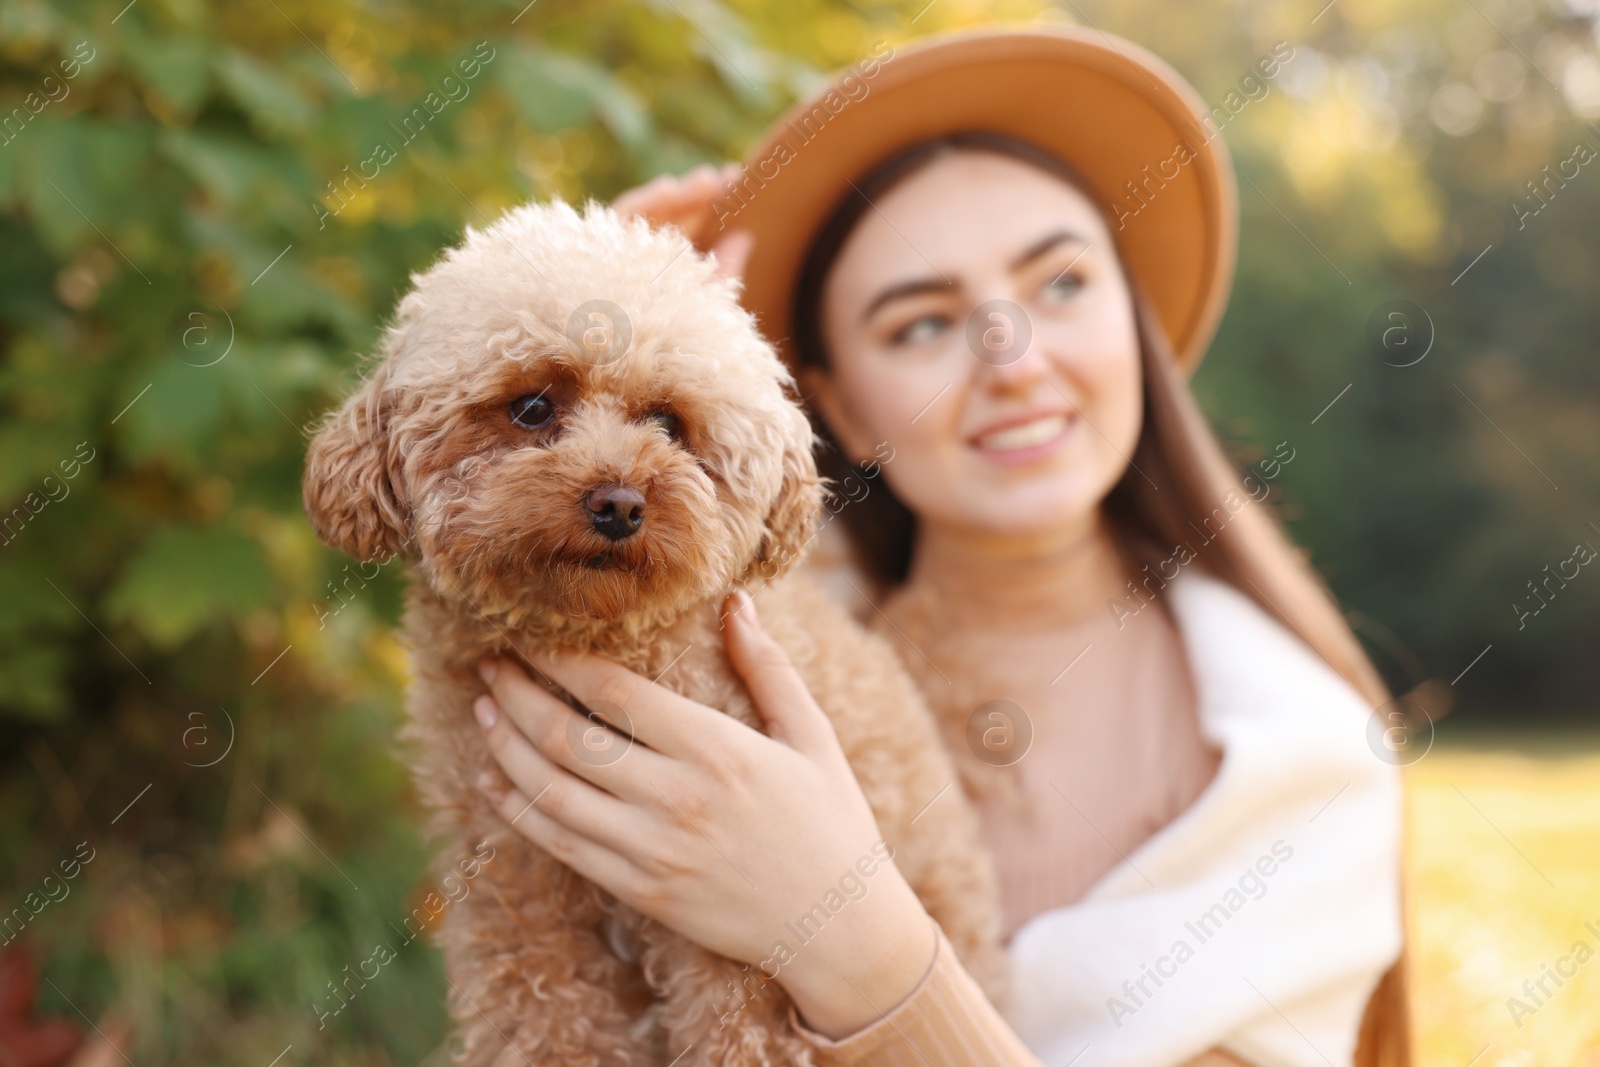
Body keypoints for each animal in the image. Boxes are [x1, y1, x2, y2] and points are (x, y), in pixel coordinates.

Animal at [300, 202, 998, 1067]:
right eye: (532, 407)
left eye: (669, 422)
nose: (619, 503)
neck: (598, 642)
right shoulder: (515, 889)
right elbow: (543, 1023)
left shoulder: (730, 940)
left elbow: (737, 1038)